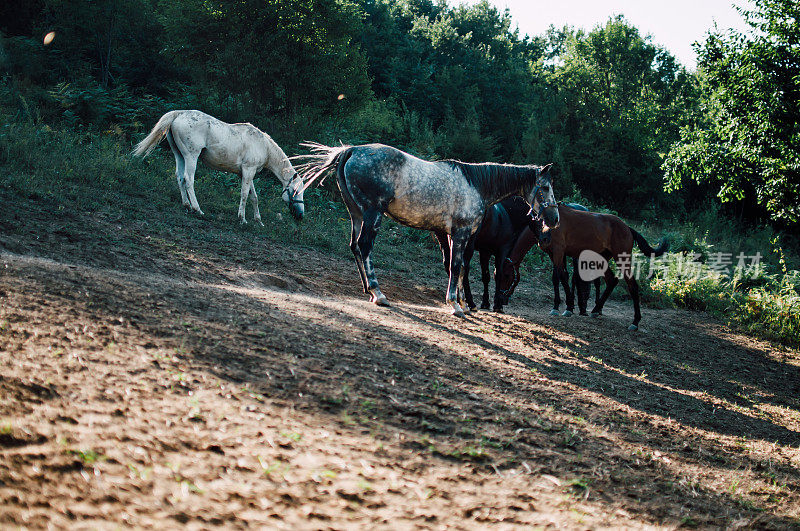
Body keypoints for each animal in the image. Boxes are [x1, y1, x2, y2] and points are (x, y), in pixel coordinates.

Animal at [133, 110, 304, 222]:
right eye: (295, 191)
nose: (301, 215)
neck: (264, 146)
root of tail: (179, 114)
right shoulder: (248, 171)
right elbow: (244, 194)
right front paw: (242, 219)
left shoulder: (246, 173)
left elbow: (253, 196)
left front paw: (258, 220)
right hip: (191, 156)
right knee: (188, 180)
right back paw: (197, 209)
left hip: (179, 155)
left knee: (180, 177)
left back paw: (186, 205)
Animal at [296, 142, 560, 316]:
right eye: (546, 187)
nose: (554, 218)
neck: (476, 184)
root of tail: (352, 150)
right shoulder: (461, 234)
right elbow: (456, 266)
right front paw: (455, 304)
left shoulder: (456, 236)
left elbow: (459, 267)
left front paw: (462, 303)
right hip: (372, 214)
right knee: (364, 246)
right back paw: (378, 293)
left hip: (357, 214)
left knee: (354, 246)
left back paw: (367, 290)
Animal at [496, 206, 664, 330]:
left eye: (507, 275)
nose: (502, 298)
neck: (546, 227)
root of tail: (627, 227)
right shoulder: (554, 254)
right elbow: (559, 277)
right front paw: (563, 306)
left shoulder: (559, 251)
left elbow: (560, 277)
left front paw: (565, 307)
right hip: (602, 259)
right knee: (612, 281)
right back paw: (595, 310)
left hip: (622, 259)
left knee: (632, 285)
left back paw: (635, 322)